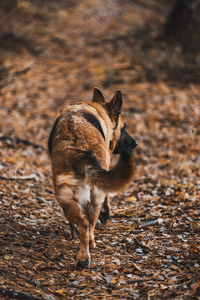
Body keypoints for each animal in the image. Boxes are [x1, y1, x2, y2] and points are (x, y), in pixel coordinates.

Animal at [48, 87, 138, 270]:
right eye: (124, 127)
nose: (135, 144)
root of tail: (79, 152)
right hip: (86, 199)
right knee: (88, 224)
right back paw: (87, 251)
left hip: (68, 200)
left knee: (84, 224)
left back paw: (84, 256)